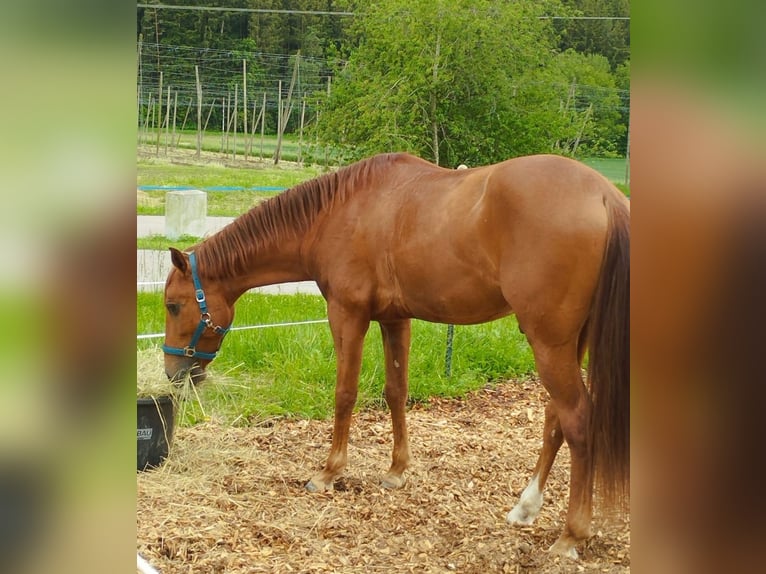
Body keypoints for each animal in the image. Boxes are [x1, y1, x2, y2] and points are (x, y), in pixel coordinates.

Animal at [162, 151, 632, 560]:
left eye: (172, 305)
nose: (173, 372)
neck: (336, 212)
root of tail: (606, 195)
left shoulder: (348, 315)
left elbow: (345, 394)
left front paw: (329, 472)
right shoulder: (395, 319)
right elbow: (396, 392)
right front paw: (396, 470)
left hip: (549, 344)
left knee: (578, 421)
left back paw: (571, 535)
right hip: (569, 343)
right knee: (555, 418)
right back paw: (525, 507)